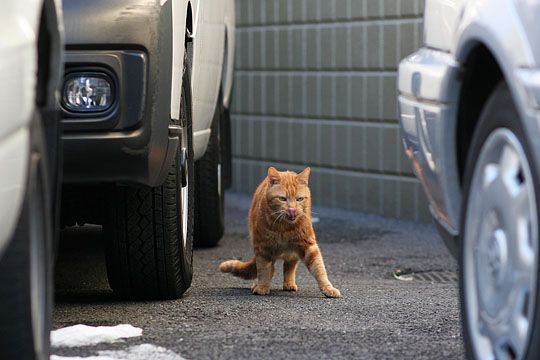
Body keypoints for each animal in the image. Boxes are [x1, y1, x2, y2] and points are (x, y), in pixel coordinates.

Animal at [219, 166, 342, 298]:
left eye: (299, 199)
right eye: (282, 199)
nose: (292, 209)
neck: (285, 228)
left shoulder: (308, 245)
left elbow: (319, 269)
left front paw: (328, 288)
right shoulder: (263, 248)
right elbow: (263, 269)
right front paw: (262, 286)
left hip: (293, 253)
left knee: (289, 267)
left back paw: (289, 283)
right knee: (270, 268)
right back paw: (259, 284)